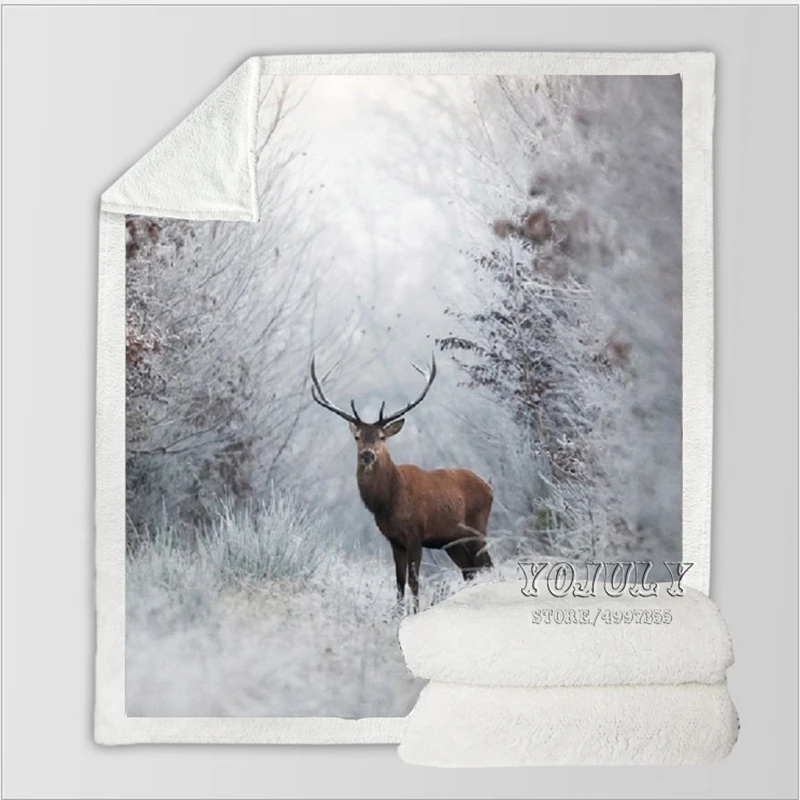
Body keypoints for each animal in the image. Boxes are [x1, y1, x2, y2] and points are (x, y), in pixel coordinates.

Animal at [310, 354, 493, 612]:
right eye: (357, 437)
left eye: (381, 437)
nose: (367, 455)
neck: (389, 502)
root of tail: (489, 487)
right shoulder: (394, 539)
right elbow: (398, 581)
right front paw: (396, 613)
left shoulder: (416, 533)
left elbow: (414, 580)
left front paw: (414, 612)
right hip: (453, 541)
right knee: (470, 570)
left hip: (478, 526)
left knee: (486, 564)